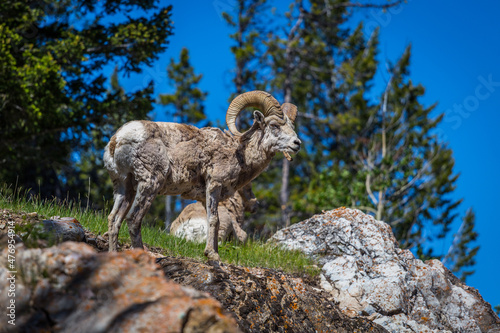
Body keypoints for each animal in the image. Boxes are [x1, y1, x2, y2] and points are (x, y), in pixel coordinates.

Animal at [103, 89, 298, 260]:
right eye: (274, 125)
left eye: (291, 126)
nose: (297, 143)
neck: (239, 153)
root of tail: (118, 140)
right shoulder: (214, 185)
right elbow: (213, 219)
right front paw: (213, 255)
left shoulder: (205, 196)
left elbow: (215, 221)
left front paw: (212, 253)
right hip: (149, 184)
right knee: (133, 219)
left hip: (124, 186)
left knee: (114, 219)